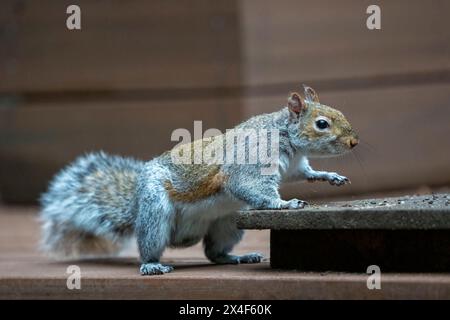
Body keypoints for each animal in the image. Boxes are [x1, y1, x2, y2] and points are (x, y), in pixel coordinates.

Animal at [40, 85, 360, 276]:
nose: (355, 142)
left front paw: (329, 176)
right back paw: (152, 265)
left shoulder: (295, 166)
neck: (285, 137)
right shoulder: (252, 158)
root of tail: (136, 204)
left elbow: (304, 173)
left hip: (226, 223)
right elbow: (249, 185)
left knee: (213, 253)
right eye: (322, 124)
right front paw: (285, 204)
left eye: (340, 113)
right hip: (155, 211)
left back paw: (237, 258)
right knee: (150, 244)